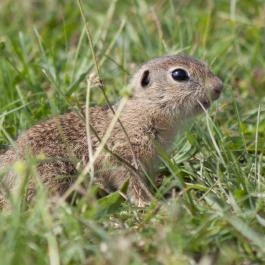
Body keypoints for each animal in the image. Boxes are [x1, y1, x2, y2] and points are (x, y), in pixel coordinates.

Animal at [0, 54, 222, 206]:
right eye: (179, 74)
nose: (219, 87)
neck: (145, 109)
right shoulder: (123, 155)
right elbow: (130, 183)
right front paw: (147, 202)